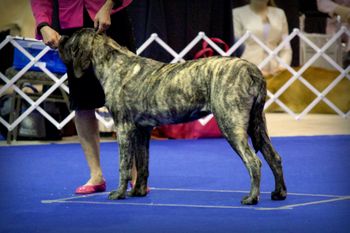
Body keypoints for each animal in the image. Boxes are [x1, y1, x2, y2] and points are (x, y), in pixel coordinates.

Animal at [58, 28, 288, 205]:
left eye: (71, 39)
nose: (59, 39)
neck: (113, 63)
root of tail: (252, 70)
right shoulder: (142, 131)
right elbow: (143, 164)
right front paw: (138, 192)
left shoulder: (124, 128)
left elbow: (124, 165)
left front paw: (119, 193)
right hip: (257, 125)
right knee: (274, 157)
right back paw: (279, 193)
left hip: (231, 123)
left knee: (253, 162)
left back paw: (251, 198)